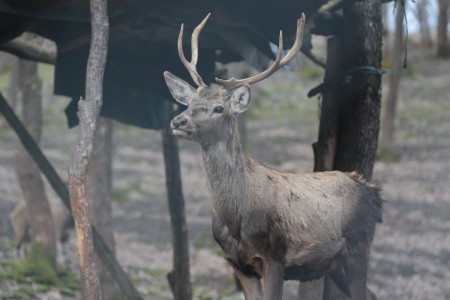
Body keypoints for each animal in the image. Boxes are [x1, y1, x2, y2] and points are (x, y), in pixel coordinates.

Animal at [164, 12, 384, 298]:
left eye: (219, 108)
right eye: (189, 103)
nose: (178, 121)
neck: (236, 216)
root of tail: (374, 193)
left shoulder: (274, 257)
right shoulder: (237, 264)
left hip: (358, 245)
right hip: (334, 264)